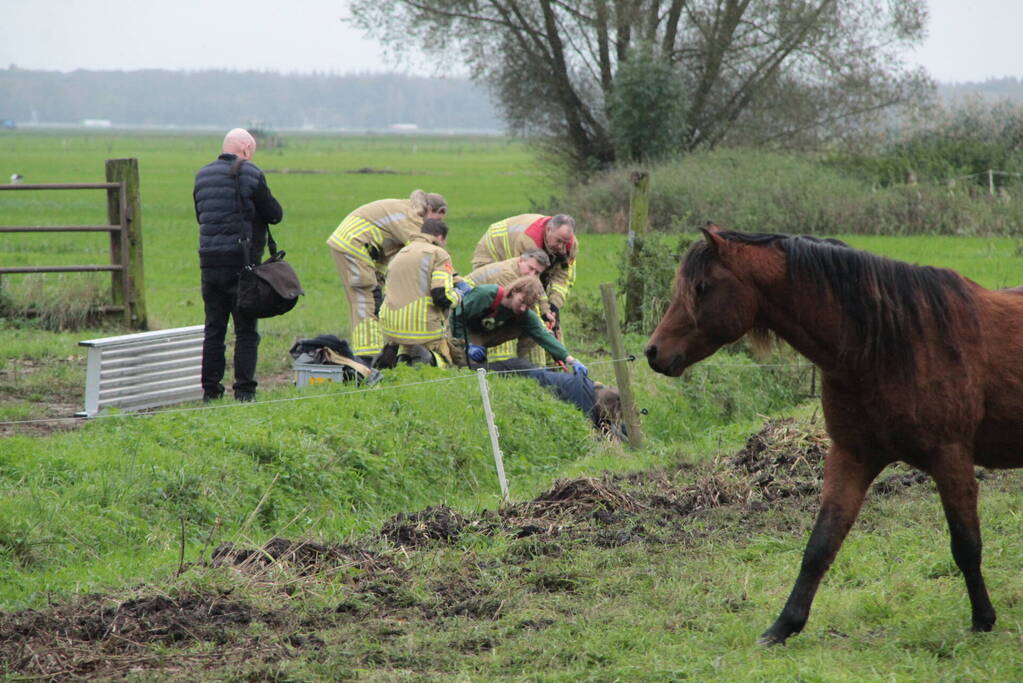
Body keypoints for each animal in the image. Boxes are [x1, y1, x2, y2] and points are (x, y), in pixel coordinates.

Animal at [645, 224, 1023, 645]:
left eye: (702, 287)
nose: (653, 351)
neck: (888, 344)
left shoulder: (951, 457)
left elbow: (966, 545)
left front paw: (983, 619)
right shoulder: (852, 456)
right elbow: (820, 546)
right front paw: (783, 626)